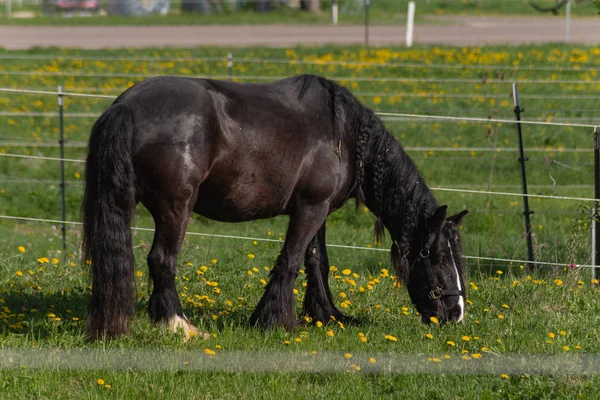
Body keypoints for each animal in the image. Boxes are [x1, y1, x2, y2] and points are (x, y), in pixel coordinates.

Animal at [83, 73, 468, 340]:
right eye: (436, 256)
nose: (456, 313)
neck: (345, 134)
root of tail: (125, 106)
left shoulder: (319, 210)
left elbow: (318, 262)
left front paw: (326, 315)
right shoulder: (310, 209)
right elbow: (291, 261)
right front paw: (276, 320)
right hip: (176, 208)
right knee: (162, 260)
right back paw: (179, 326)